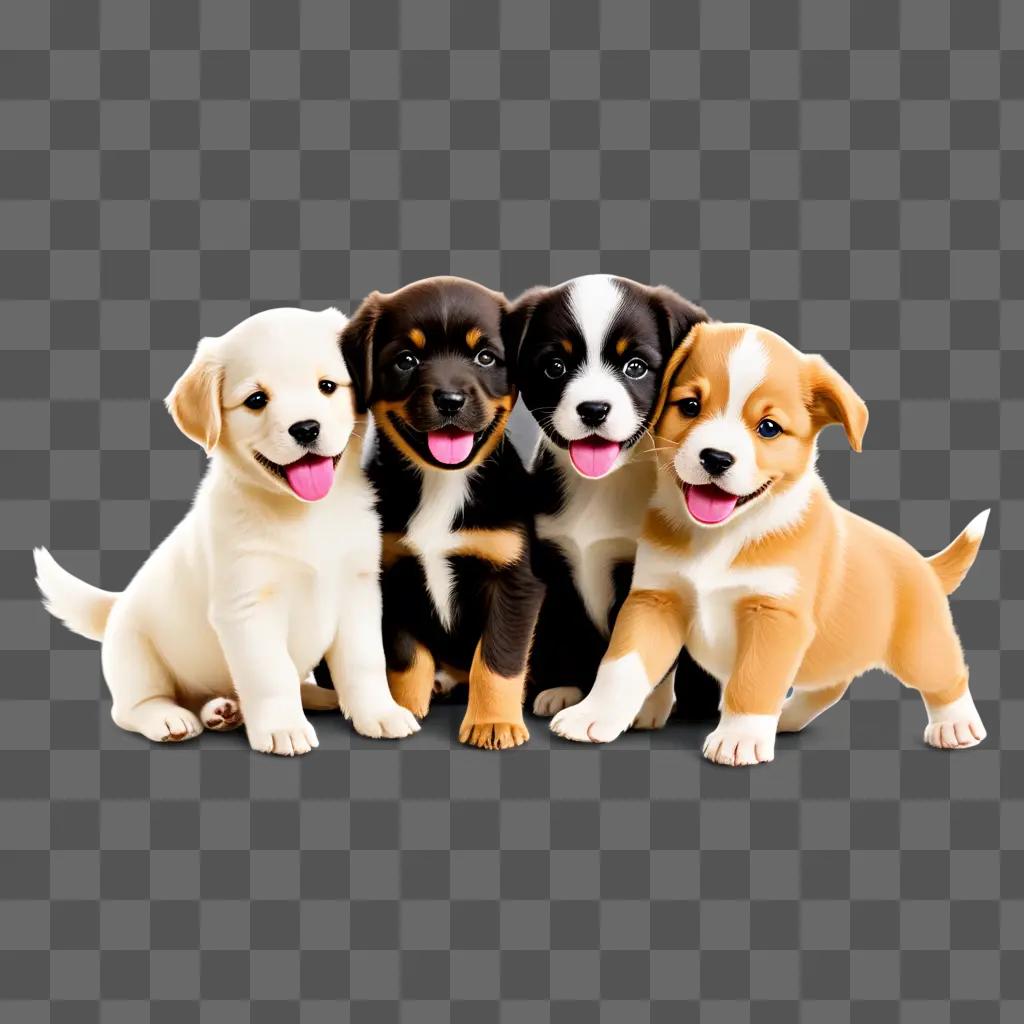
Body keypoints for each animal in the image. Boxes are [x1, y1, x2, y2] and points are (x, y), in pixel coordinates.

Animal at [35, 303, 419, 753]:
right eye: (256, 400)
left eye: (327, 386)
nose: (306, 428)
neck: (306, 514)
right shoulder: (246, 606)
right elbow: (270, 674)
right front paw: (283, 728)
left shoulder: (359, 590)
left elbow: (364, 661)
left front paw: (379, 712)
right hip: (135, 653)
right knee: (132, 707)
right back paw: (170, 717)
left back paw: (276, 701)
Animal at [335, 280, 548, 753]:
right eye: (406, 360)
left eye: (485, 357)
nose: (450, 399)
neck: (442, 485)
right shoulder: (391, 576)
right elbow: (405, 654)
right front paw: (402, 706)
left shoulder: (515, 581)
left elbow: (497, 658)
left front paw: (493, 722)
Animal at [509, 274, 720, 729]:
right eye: (556, 366)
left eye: (635, 366)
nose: (593, 409)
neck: (602, 485)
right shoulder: (555, 565)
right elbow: (569, 632)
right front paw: (565, 688)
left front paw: (642, 706)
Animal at [552, 323, 991, 765]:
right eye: (690, 405)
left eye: (768, 428)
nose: (715, 457)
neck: (722, 537)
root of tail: (922, 561)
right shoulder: (655, 600)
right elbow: (621, 664)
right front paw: (593, 715)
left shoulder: (774, 617)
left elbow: (753, 680)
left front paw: (740, 737)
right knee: (829, 686)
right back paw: (787, 717)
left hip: (921, 647)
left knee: (949, 677)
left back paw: (956, 726)